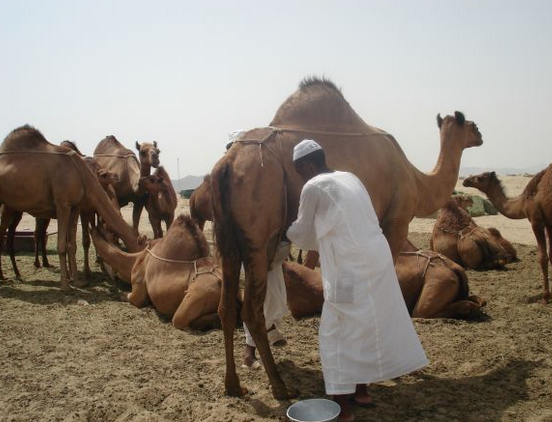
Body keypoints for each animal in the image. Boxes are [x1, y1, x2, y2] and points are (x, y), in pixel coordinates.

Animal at [0, 125, 144, 290]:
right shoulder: (64, 205)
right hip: (7, 207)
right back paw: (8, 276)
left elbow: (72, 244)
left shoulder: (75, 207)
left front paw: (77, 280)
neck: (84, 175)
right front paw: (66, 284)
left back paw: (15, 274)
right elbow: (64, 244)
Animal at [91, 216, 225, 332]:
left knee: (180, 320)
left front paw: (121, 295)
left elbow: (133, 298)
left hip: (200, 292)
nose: (94, 227)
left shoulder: (138, 279)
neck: (136, 258)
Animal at [209, 76, 480, 398]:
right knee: (251, 310)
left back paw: (233, 385)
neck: (415, 179)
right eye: (472, 125)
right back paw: (280, 387)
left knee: (227, 306)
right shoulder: (395, 221)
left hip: (227, 240)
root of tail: (226, 165)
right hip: (257, 240)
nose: (480, 135)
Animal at [462, 169, 552, 304]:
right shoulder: (549, 223)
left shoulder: (537, 221)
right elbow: (551, 255)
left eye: (481, 177)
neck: (523, 202)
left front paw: (545, 297)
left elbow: (543, 257)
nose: (465, 181)